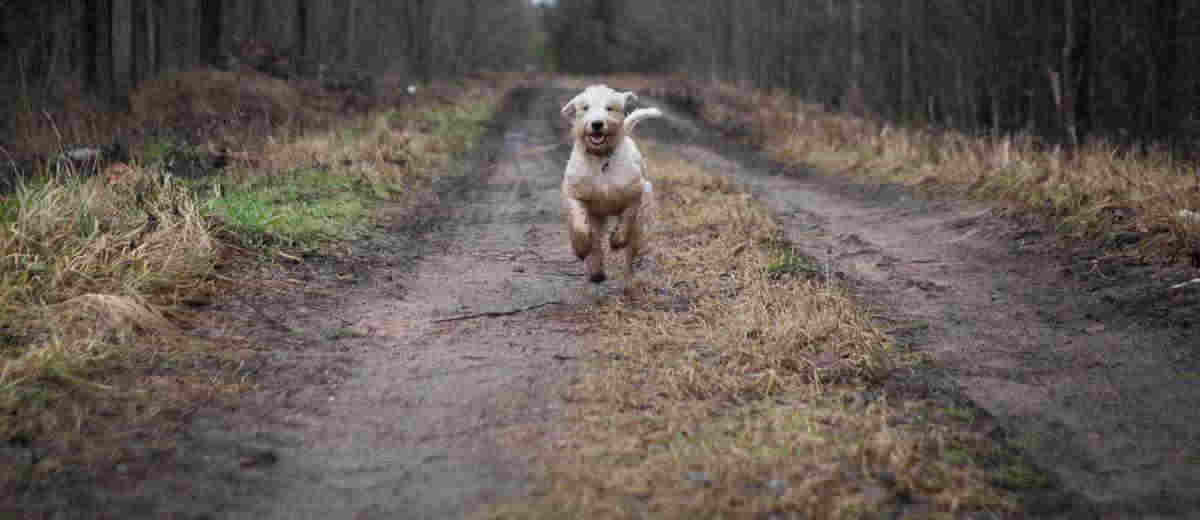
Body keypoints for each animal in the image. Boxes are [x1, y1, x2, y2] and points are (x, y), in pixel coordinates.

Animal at [561, 82, 667, 282]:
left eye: (609, 108)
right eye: (585, 108)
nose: (597, 124)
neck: (601, 159)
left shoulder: (635, 193)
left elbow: (627, 217)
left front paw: (617, 241)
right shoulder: (575, 194)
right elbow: (580, 225)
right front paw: (581, 249)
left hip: (640, 222)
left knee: (631, 249)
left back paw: (629, 276)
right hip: (597, 216)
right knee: (596, 241)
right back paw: (596, 270)